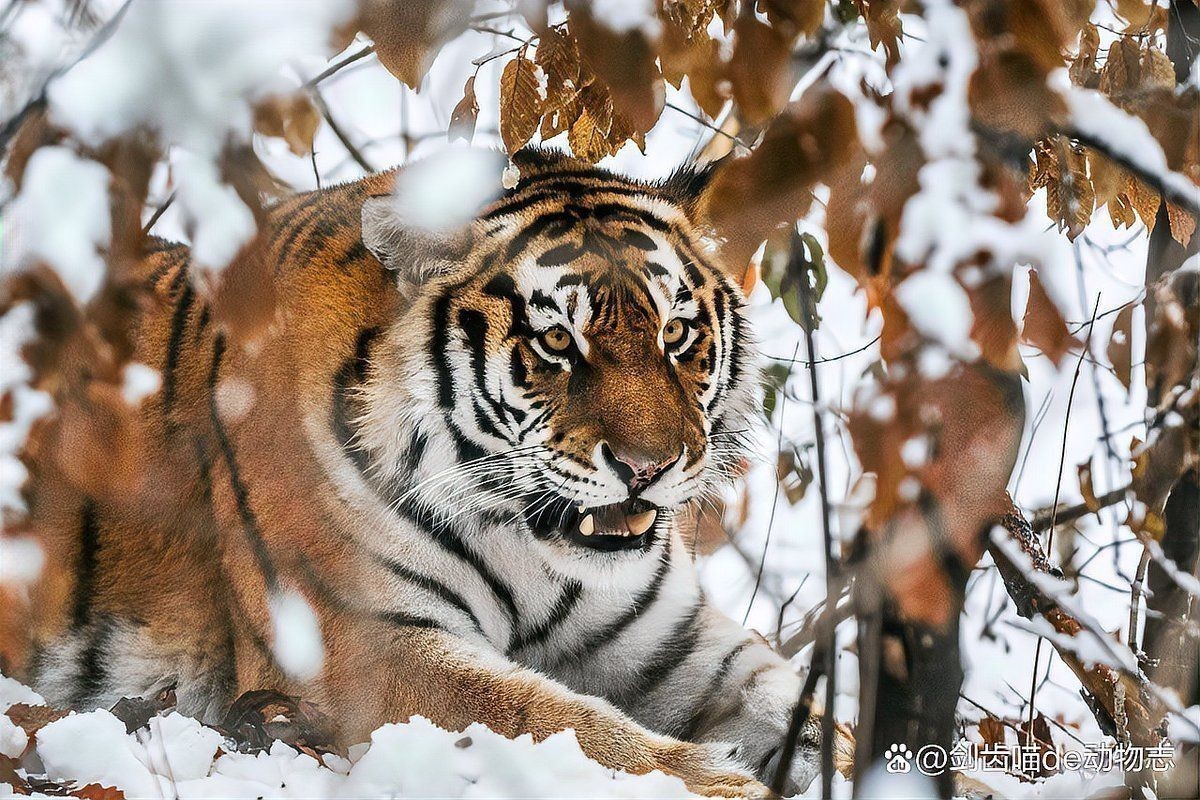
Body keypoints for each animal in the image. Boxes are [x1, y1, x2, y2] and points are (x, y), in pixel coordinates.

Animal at [9, 148, 823, 796]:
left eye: (676, 334)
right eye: (558, 342)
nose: (648, 466)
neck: (528, 543)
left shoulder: (674, 645)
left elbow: (801, 707)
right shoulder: (364, 645)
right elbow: (554, 720)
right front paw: (723, 782)